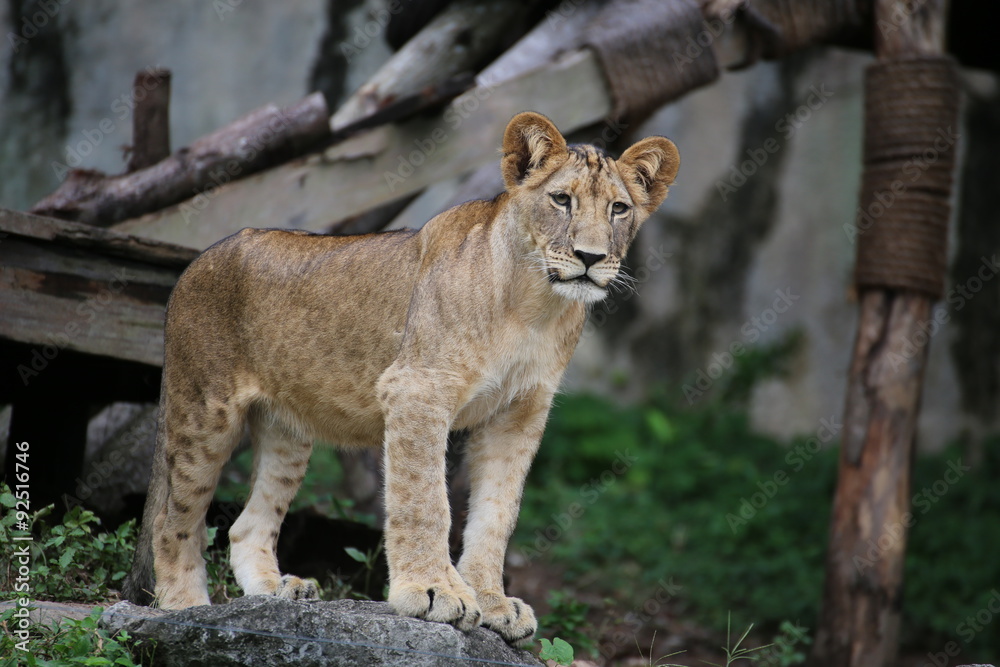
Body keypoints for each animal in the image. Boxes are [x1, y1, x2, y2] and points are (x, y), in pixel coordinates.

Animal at [122, 111, 679, 644]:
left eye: (619, 209)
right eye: (561, 200)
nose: (590, 258)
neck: (536, 305)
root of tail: (195, 261)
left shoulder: (519, 414)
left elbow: (497, 514)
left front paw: (494, 603)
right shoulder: (418, 391)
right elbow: (425, 500)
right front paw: (434, 593)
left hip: (286, 433)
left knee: (245, 527)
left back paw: (276, 594)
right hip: (203, 413)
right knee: (174, 521)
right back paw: (185, 609)